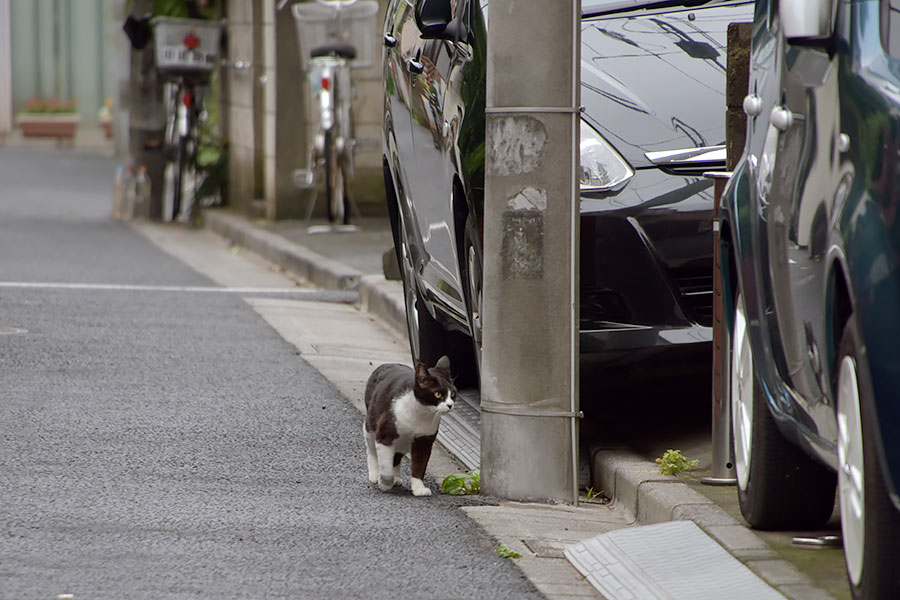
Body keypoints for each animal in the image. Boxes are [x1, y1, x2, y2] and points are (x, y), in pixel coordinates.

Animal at [362, 356, 454, 496]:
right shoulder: (385, 434)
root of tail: (386, 364)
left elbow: (419, 464)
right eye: (438, 394)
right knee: (372, 449)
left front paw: (419, 488)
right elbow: (385, 466)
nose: (450, 405)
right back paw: (375, 475)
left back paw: (396, 478)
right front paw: (384, 483)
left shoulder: (424, 439)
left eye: (453, 394)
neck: (421, 414)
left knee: (396, 456)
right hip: (371, 422)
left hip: (403, 442)